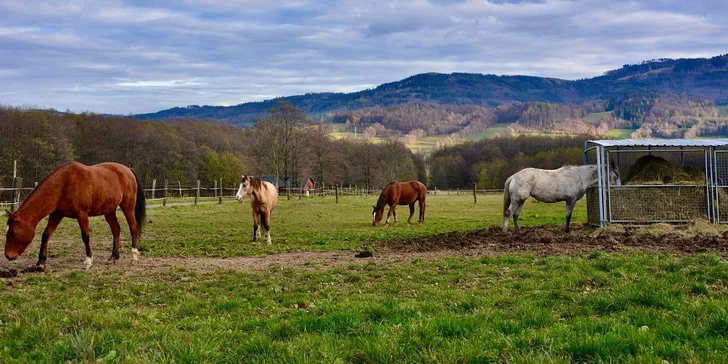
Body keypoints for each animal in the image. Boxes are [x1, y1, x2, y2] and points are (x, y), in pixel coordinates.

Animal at [3, 162, 145, 270]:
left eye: (13, 232)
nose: (8, 256)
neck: (64, 185)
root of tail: (128, 170)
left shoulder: (82, 214)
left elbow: (85, 236)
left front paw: (88, 261)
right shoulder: (56, 215)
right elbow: (46, 235)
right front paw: (41, 262)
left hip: (128, 207)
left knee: (133, 227)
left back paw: (134, 256)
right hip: (109, 211)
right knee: (116, 229)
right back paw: (114, 256)